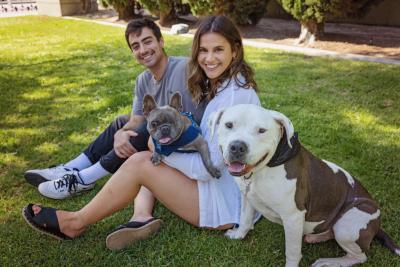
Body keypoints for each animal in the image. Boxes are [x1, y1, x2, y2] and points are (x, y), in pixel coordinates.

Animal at [208, 104, 398, 267]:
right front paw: (238, 235)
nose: (237, 147)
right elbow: (245, 220)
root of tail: (378, 223)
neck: (263, 169)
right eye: (229, 125)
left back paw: (330, 261)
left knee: (359, 256)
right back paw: (317, 237)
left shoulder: (293, 217)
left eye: (261, 130)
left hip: (348, 224)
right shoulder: (248, 197)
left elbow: (292, 252)